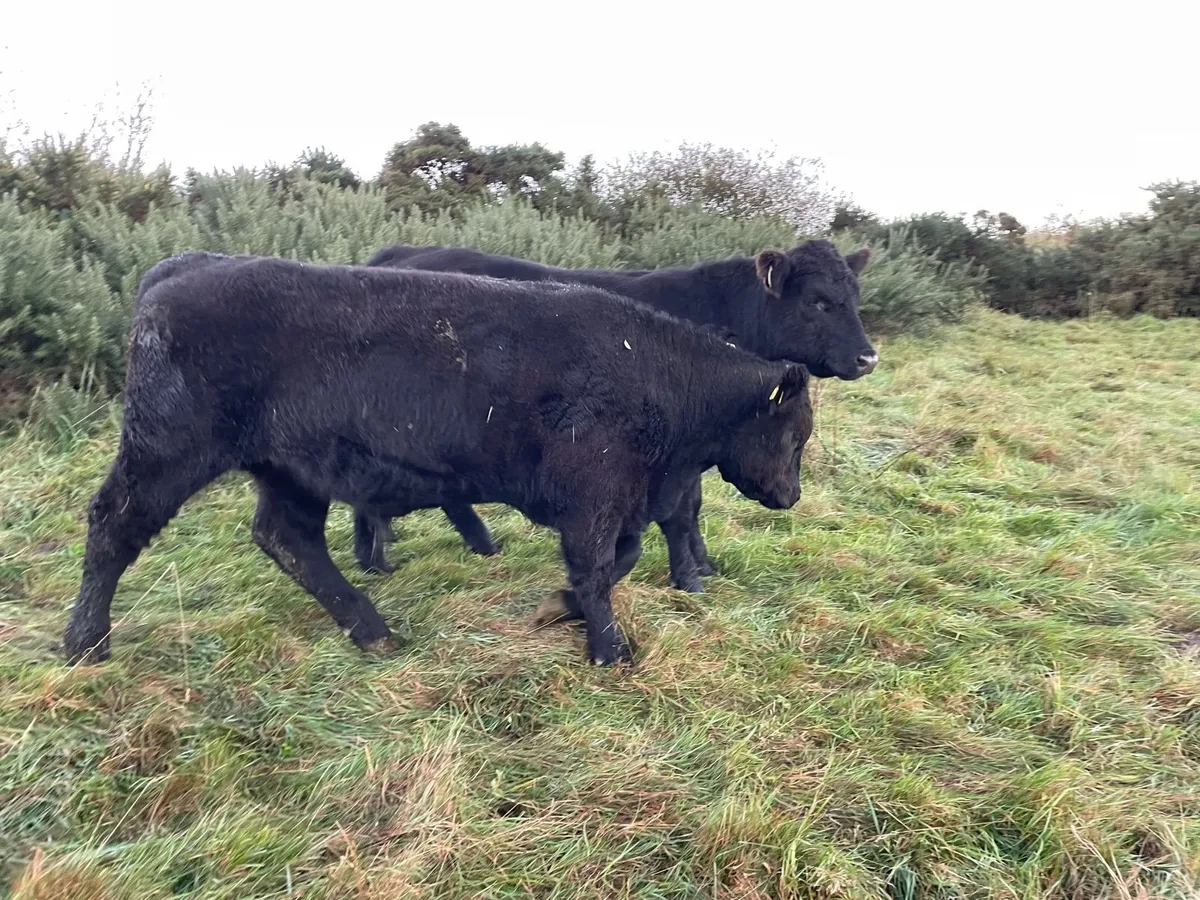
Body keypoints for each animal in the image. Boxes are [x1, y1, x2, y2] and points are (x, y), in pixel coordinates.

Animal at [63, 253, 815, 668]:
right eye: (796, 435)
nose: (791, 496)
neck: (655, 371)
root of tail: (184, 267)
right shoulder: (594, 497)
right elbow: (600, 569)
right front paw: (609, 650)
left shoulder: (620, 502)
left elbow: (615, 563)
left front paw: (560, 607)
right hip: (164, 454)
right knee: (112, 527)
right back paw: (85, 645)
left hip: (291, 472)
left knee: (289, 540)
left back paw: (372, 631)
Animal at [358, 240, 876, 595]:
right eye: (817, 301)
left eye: (855, 297)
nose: (868, 358)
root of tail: (400, 252)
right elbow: (681, 511)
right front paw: (690, 577)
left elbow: (690, 507)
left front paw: (702, 565)